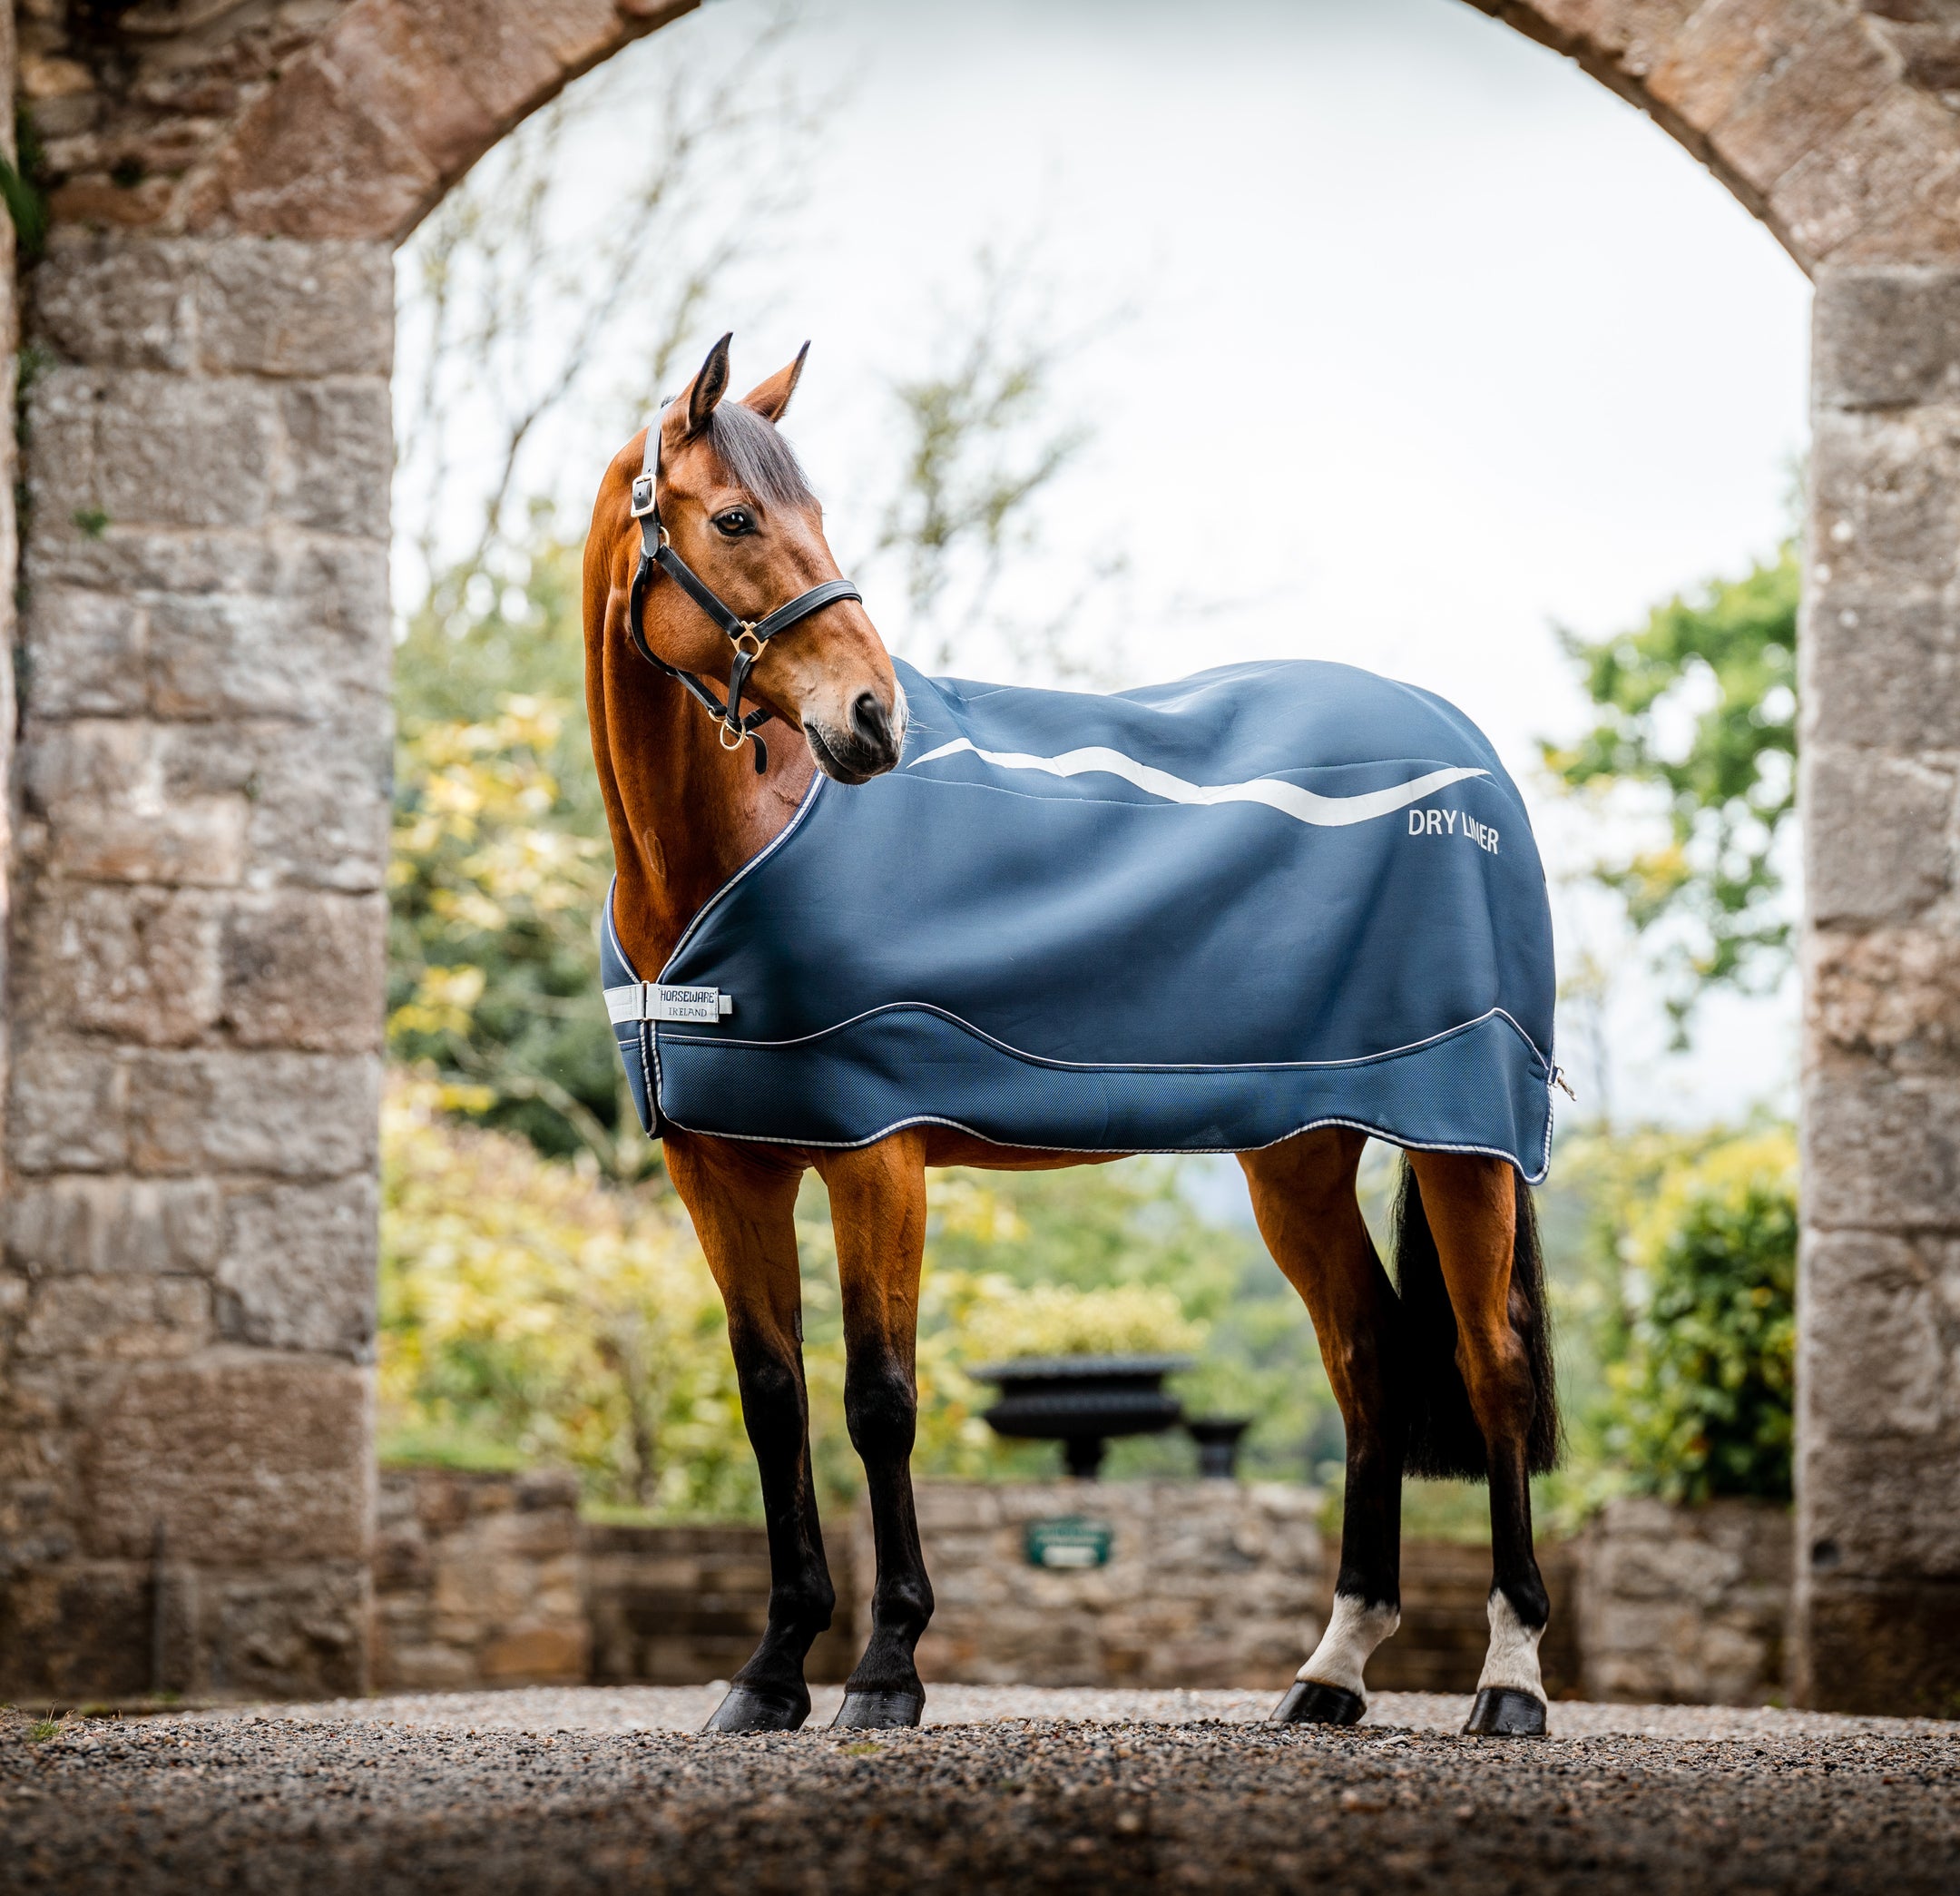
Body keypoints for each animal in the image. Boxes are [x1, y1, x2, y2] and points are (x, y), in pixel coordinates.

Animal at [580, 337, 1560, 1733]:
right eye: (732, 518)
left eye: (814, 510)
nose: (874, 720)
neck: (721, 854)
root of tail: (1466, 753)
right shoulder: (722, 1171)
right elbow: (775, 1402)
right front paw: (768, 1674)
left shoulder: (878, 1156)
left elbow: (880, 1400)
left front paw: (887, 1668)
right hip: (1299, 1156)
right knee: (1369, 1360)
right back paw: (1331, 1670)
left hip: (1463, 1141)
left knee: (1493, 1371)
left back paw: (1511, 1680)